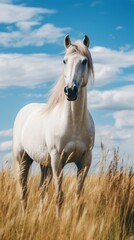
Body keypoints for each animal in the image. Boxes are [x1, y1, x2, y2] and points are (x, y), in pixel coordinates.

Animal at [12, 34, 94, 215]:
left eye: (84, 61)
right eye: (64, 60)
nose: (70, 90)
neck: (74, 123)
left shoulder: (85, 161)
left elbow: (77, 195)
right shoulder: (57, 160)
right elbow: (59, 196)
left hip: (45, 165)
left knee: (41, 190)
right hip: (23, 159)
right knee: (23, 189)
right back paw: (24, 214)